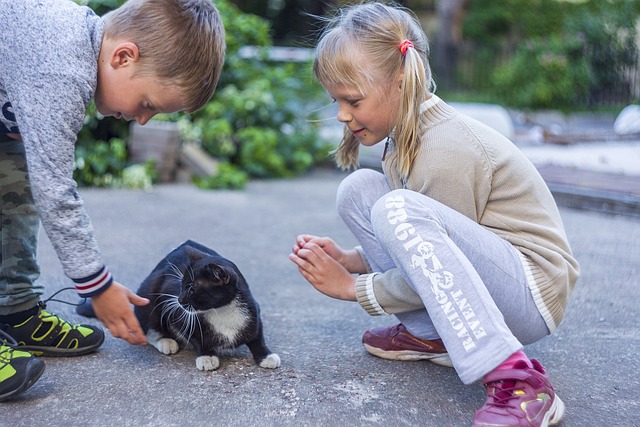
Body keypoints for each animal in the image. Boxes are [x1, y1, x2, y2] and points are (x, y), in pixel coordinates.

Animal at [79, 239, 278, 372]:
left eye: (192, 289)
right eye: (181, 285)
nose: (179, 300)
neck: (222, 311)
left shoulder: (253, 311)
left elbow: (257, 336)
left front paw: (266, 356)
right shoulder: (176, 313)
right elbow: (195, 336)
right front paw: (206, 356)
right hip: (150, 291)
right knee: (148, 329)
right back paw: (165, 341)